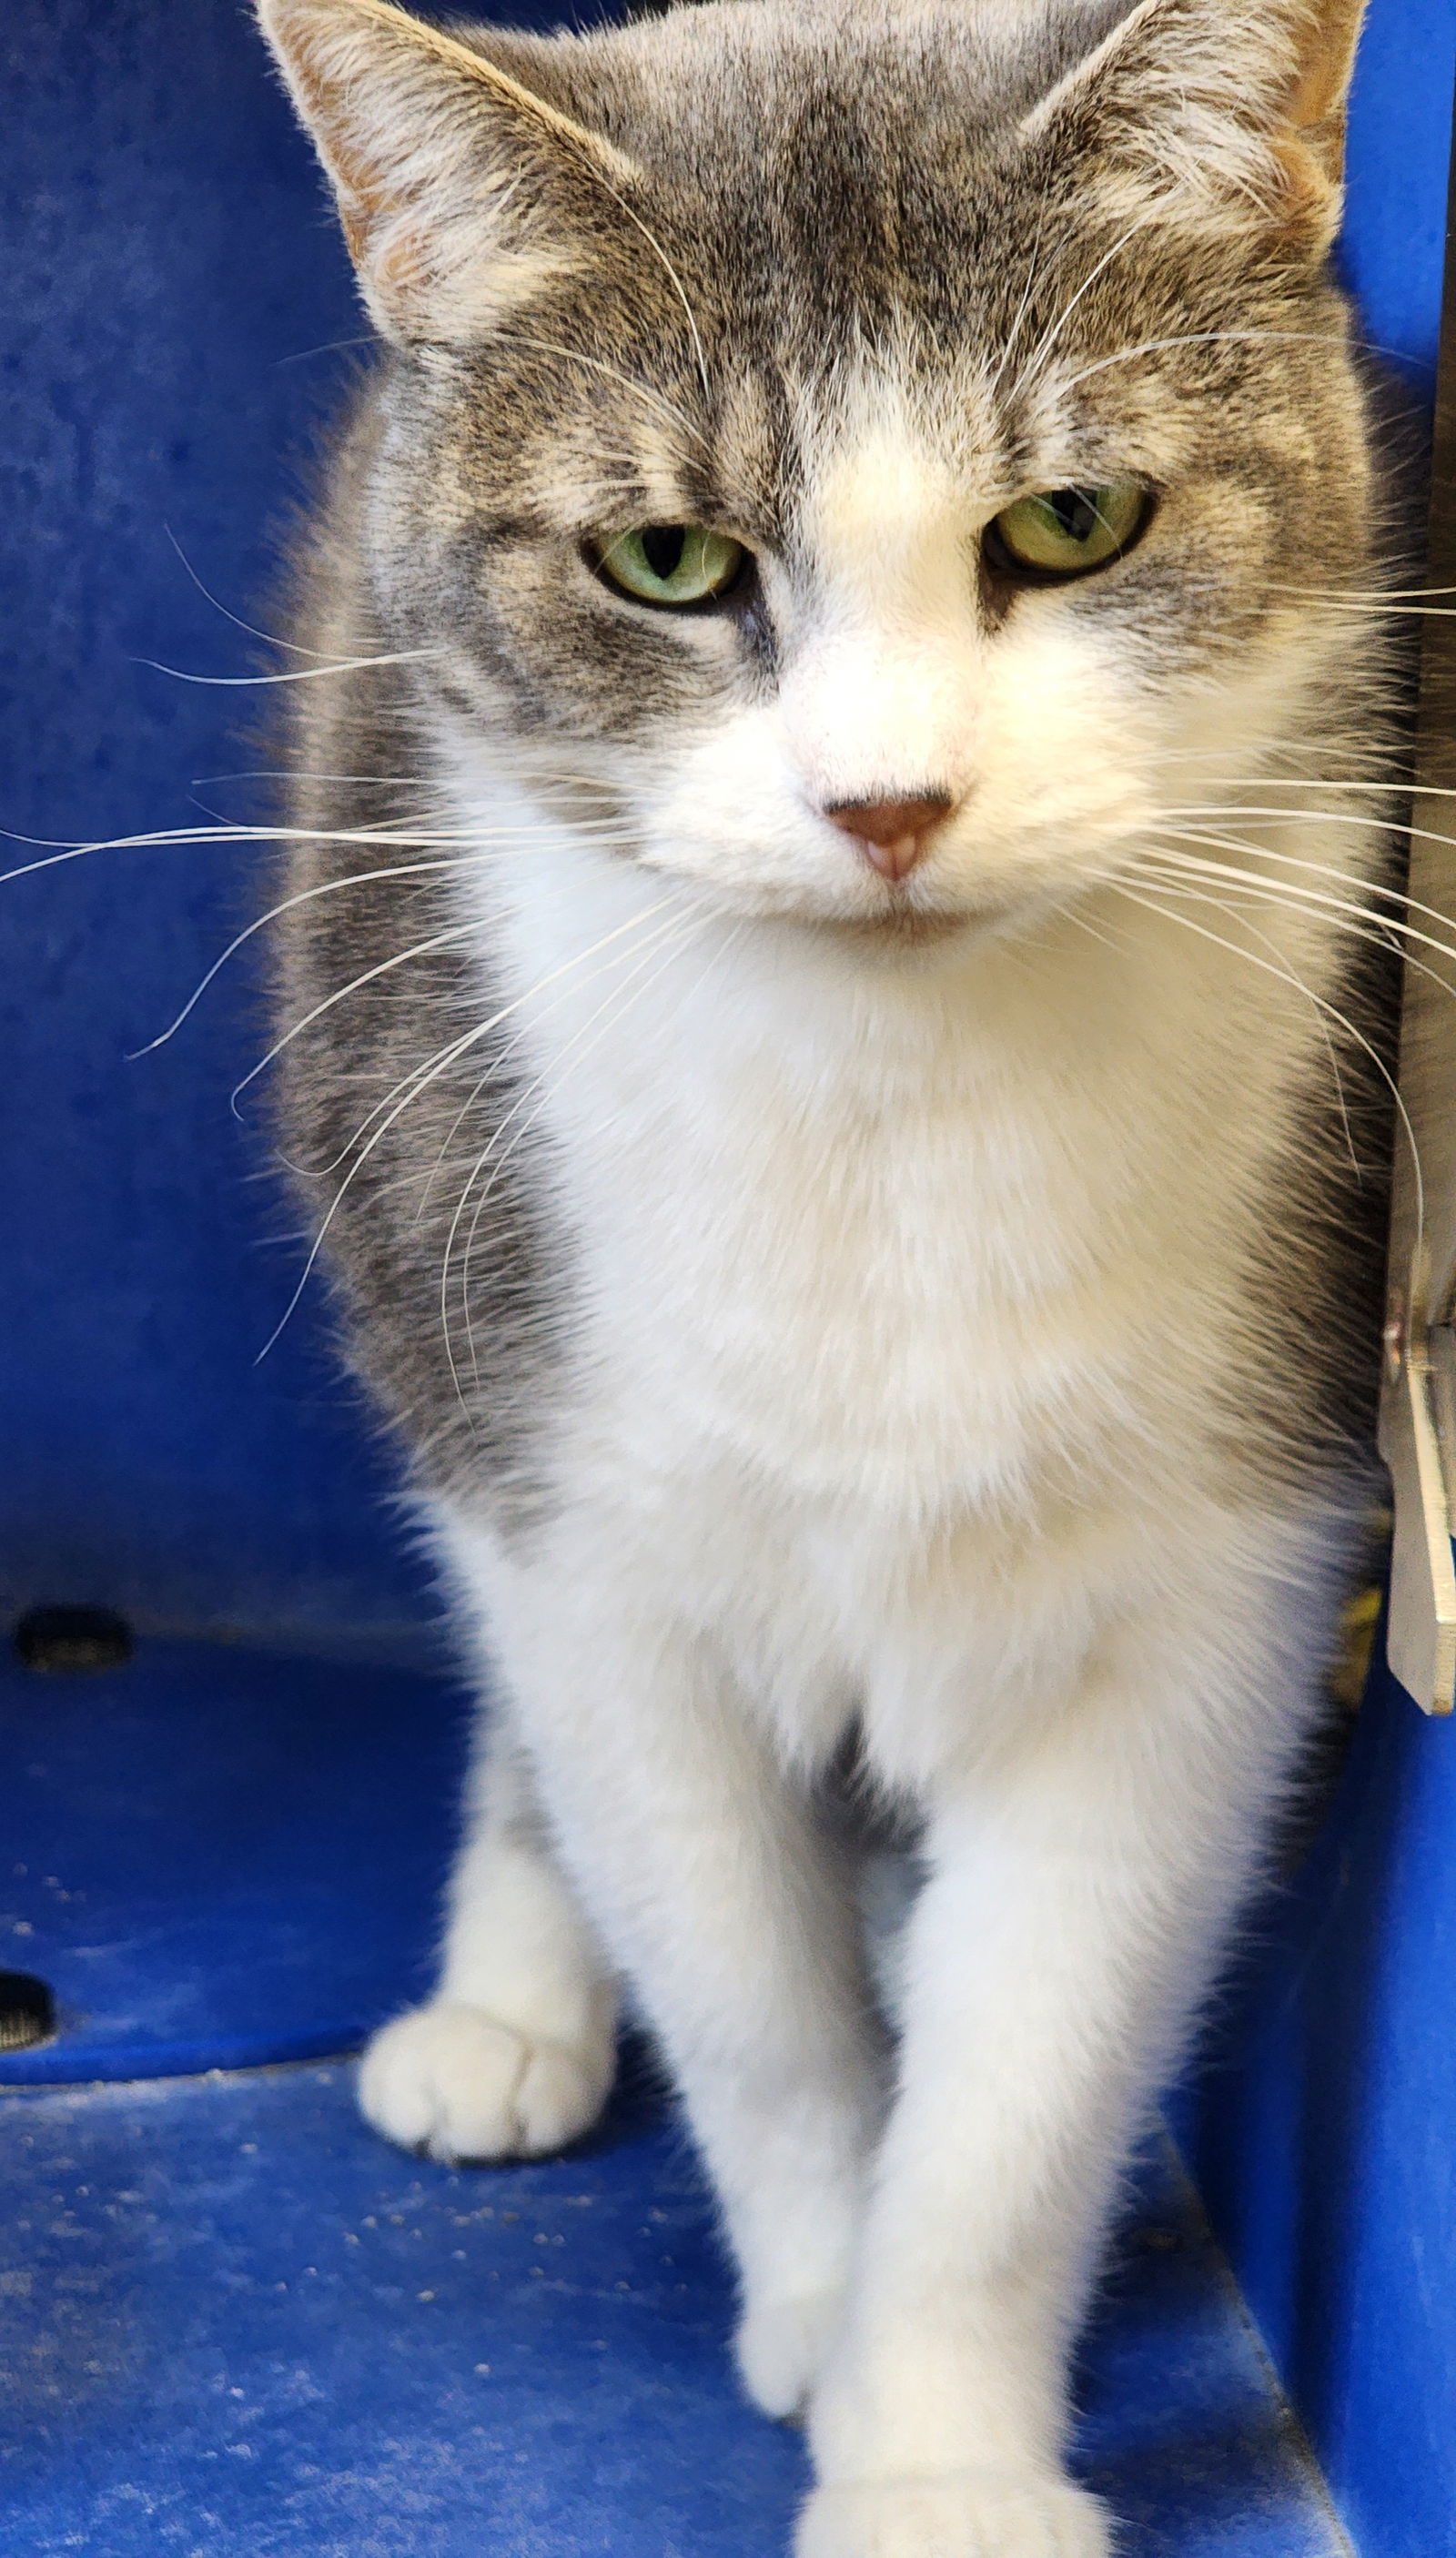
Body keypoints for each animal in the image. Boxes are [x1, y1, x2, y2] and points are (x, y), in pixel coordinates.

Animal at [256, 9, 1391, 2547]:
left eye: (1068, 525)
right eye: (667, 559)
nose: (886, 807)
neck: (891, 1099)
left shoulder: (1211, 1567)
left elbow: (1025, 2078)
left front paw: (933, 2445)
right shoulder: (583, 1524)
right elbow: (752, 2003)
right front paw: (809, 2293)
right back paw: (507, 2000)